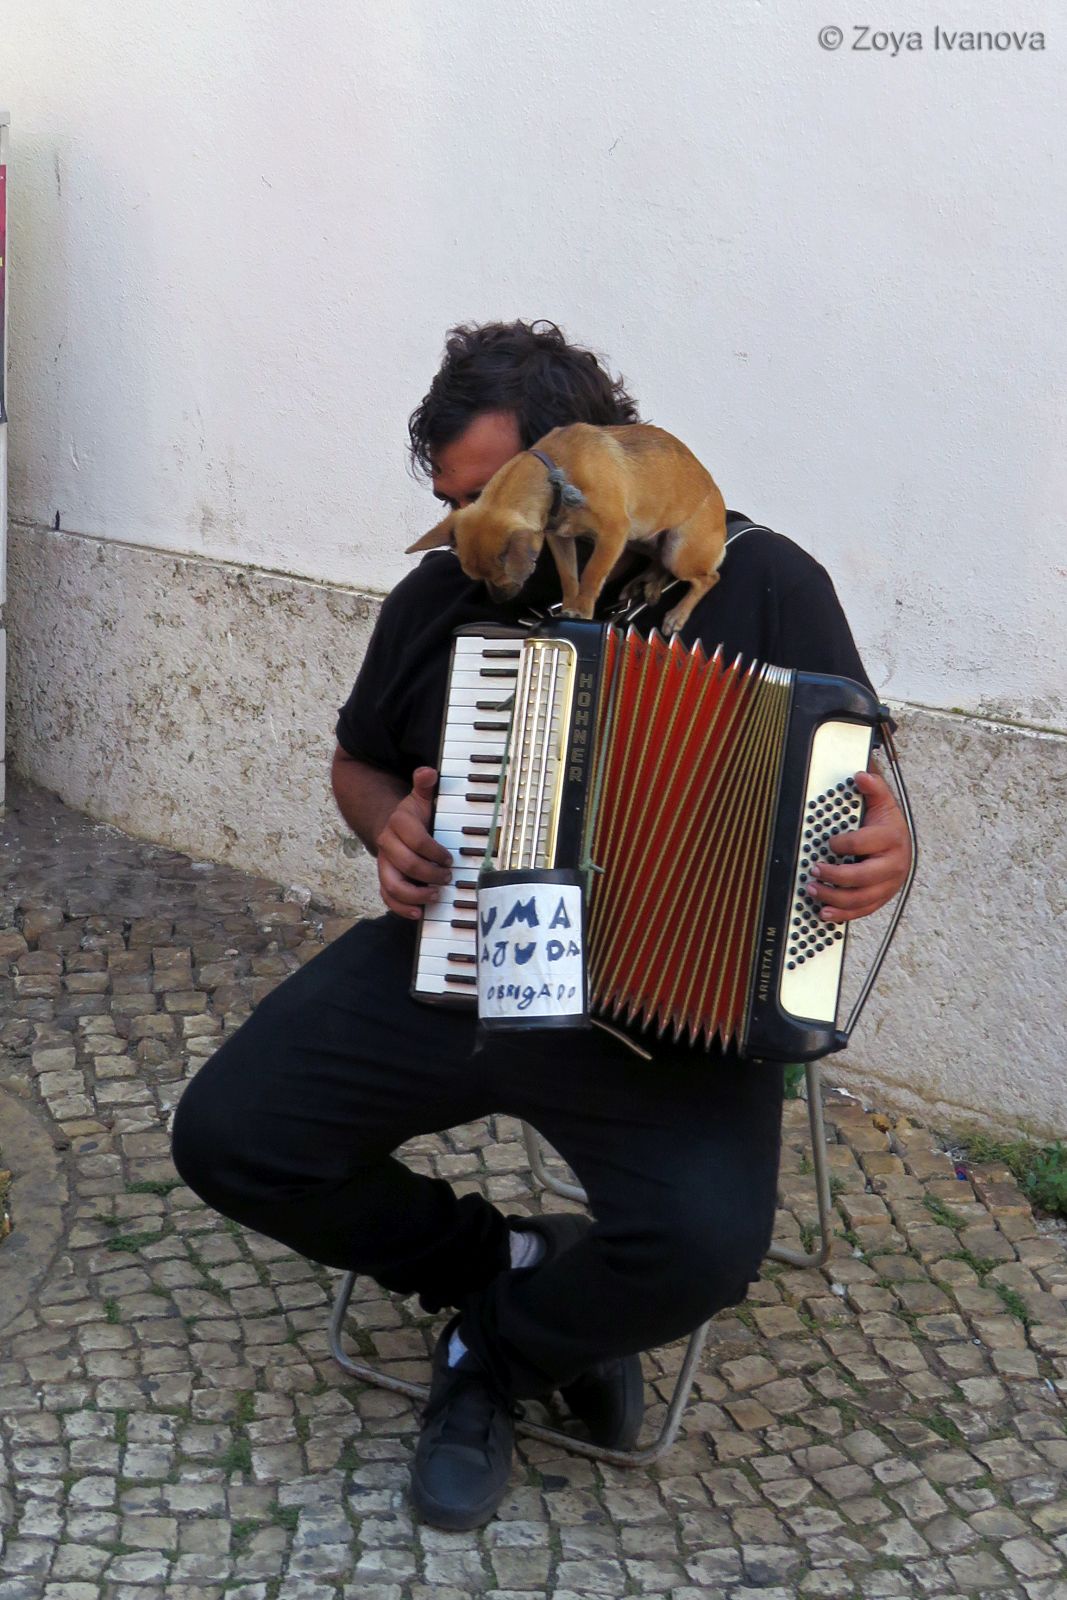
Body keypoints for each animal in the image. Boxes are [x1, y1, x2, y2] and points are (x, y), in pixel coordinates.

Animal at [406, 422, 728, 634]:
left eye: (501, 576)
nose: (496, 599)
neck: (558, 474)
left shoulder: (613, 532)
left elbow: (592, 574)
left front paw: (583, 611)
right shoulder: (559, 538)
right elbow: (570, 577)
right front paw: (570, 606)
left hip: (678, 549)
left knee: (708, 577)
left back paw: (677, 614)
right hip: (642, 538)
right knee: (659, 561)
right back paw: (646, 582)